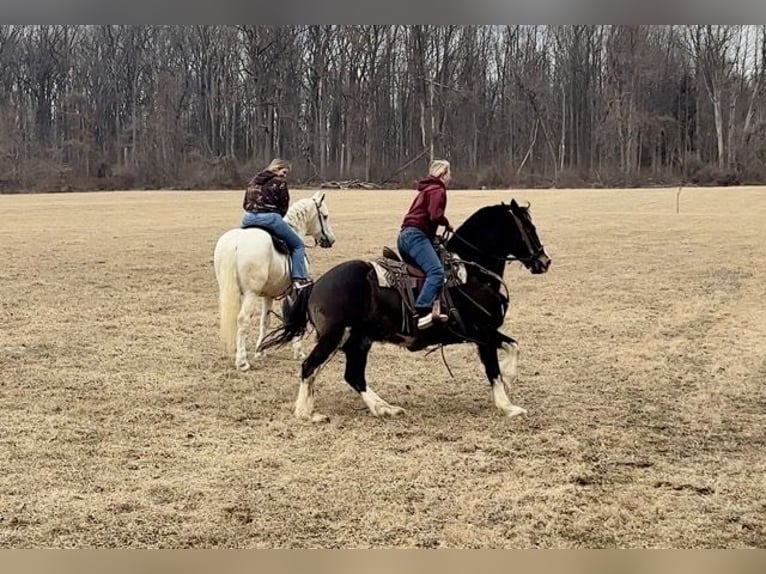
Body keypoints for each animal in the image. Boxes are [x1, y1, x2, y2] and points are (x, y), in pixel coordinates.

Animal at [214, 191, 338, 372]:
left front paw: (260, 351)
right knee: (242, 320)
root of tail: (235, 242)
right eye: (325, 216)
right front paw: (299, 351)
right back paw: (242, 362)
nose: (331, 240)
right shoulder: (294, 292)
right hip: (250, 294)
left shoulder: (268, 295)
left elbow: (264, 321)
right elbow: (295, 318)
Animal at [260, 199, 552, 424]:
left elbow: (513, 346)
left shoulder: (486, 332)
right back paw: (306, 413)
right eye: (529, 227)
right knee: (310, 366)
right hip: (335, 336)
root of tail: (316, 284)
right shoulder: (482, 333)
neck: (472, 273)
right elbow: (493, 369)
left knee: (353, 375)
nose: (544, 261)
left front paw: (510, 380)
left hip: (359, 340)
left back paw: (384, 408)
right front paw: (508, 406)